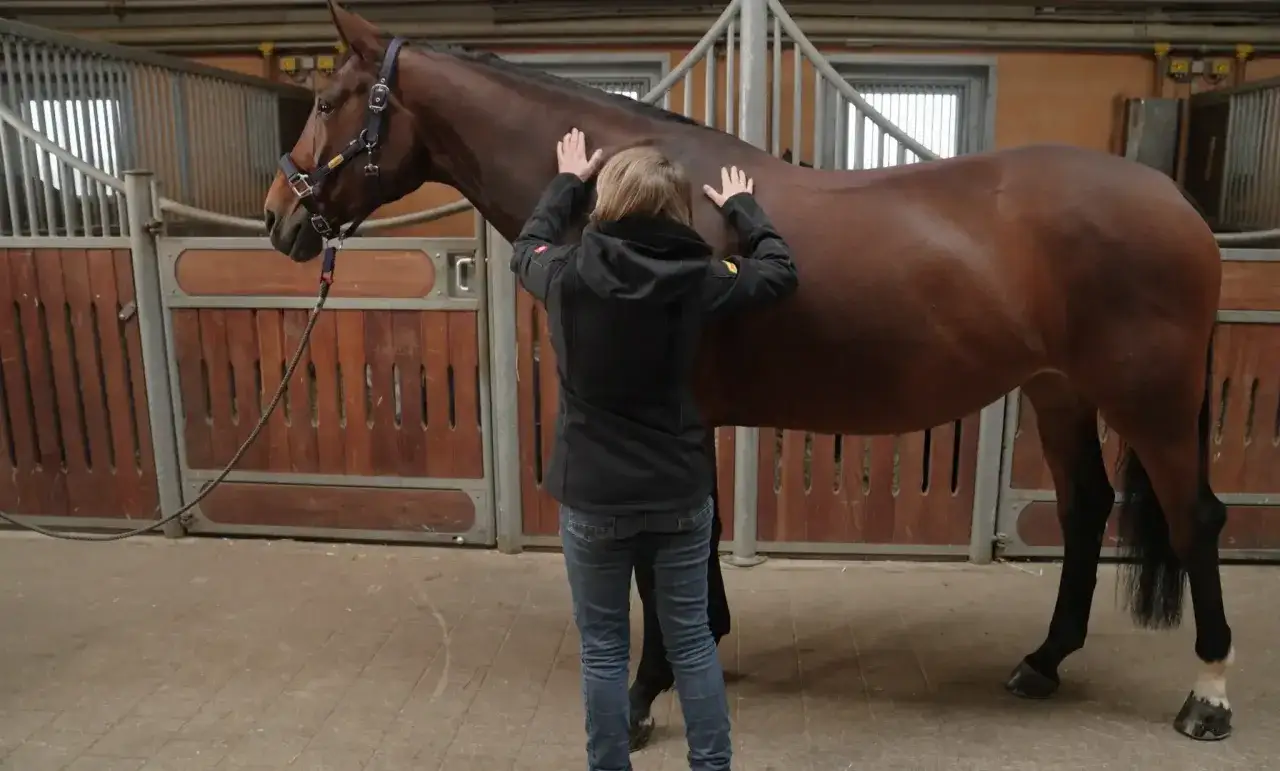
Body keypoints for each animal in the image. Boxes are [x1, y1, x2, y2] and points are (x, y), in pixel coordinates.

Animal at [263, 0, 1236, 746]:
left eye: (326, 99)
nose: (279, 218)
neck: (641, 208)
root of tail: (1179, 206)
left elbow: (659, 553)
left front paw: (643, 694)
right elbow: (696, 542)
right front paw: (705, 641)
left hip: (1150, 400)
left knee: (1194, 518)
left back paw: (1209, 693)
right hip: (1057, 389)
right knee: (1085, 510)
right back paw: (1042, 662)